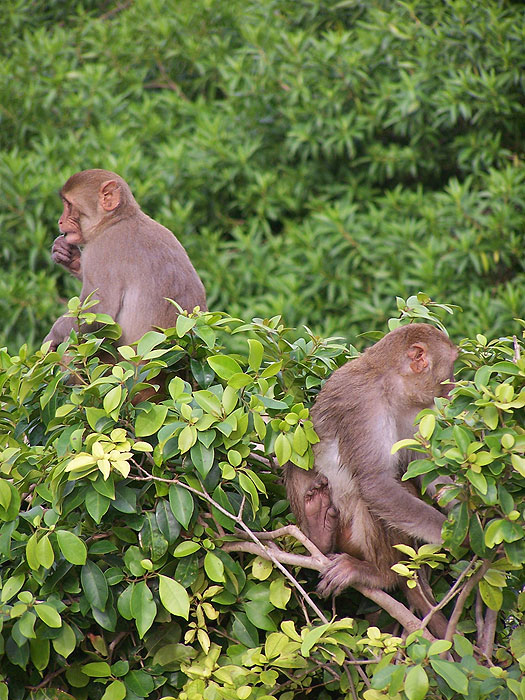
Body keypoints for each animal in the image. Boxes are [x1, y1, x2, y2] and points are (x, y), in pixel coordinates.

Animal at [43, 170, 207, 350]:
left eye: (69, 204)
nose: (60, 220)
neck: (116, 220)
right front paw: (68, 255)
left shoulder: (102, 251)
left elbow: (99, 310)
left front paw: (52, 337)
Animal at [284, 326, 456, 632]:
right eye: (452, 366)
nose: (454, 387)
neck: (389, 383)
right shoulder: (364, 404)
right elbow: (376, 484)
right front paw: (456, 536)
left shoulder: (415, 412)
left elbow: (420, 467)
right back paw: (374, 570)